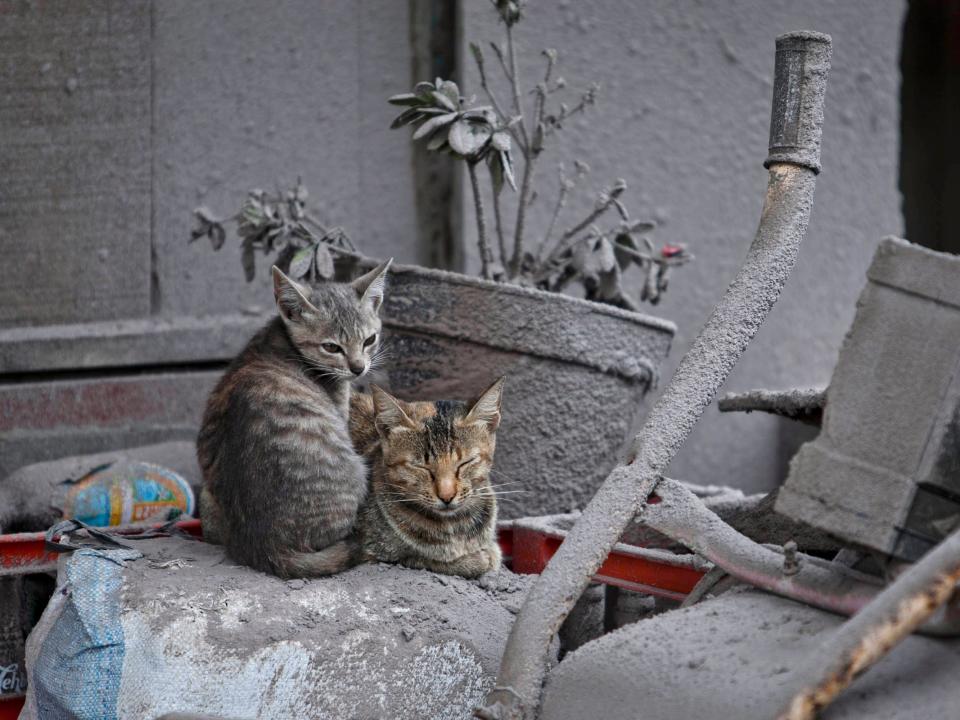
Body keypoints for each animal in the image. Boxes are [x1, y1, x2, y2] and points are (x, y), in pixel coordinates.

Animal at [197, 258, 392, 580]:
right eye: (331, 347)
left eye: (369, 340)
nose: (358, 368)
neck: (280, 338)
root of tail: (267, 545)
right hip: (356, 472)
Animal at [308, 380, 506, 576]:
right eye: (420, 466)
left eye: (466, 462)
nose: (447, 496)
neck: (456, 526)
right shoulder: (374, 549)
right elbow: (426, 558)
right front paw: (478, 559)